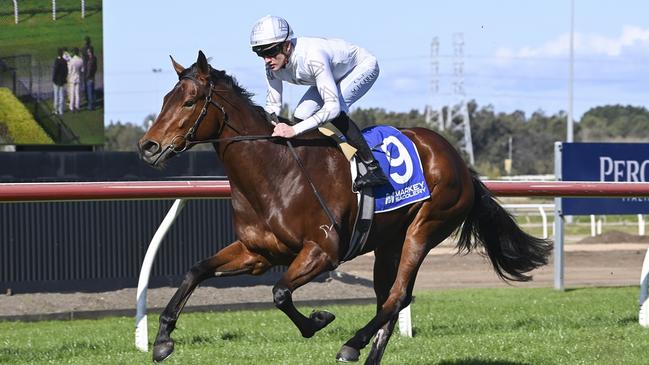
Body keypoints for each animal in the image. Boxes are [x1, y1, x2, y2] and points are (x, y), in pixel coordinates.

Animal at [138, 51, 552, 364]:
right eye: (164, 99)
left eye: (189, 101)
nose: (148, 147)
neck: (275, 171)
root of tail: (458, 160)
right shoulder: (257, 252)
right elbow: (195, 271)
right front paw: (163, 339)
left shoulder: (324, 252)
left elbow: (280, 293)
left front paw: (318, 319)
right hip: (389, 243)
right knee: (392, 300)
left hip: (424, 229)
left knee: (397, 296)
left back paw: (352, 345)